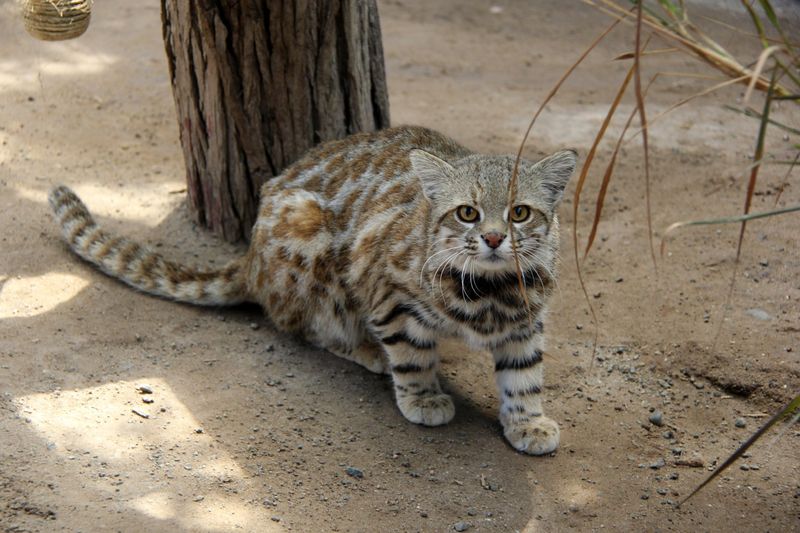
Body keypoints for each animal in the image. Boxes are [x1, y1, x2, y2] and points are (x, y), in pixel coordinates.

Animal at [50, 124, 576, 454]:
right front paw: (423, 395)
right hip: (309, 238)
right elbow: (411, 354)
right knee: (307, 326)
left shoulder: (528, 320)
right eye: (467, 213)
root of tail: (250, 259)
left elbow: (525, 374)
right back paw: (366, 349)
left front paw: (526, 420)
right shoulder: (389, 293)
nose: (493, 238)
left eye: (520, 213)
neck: (489, 290)